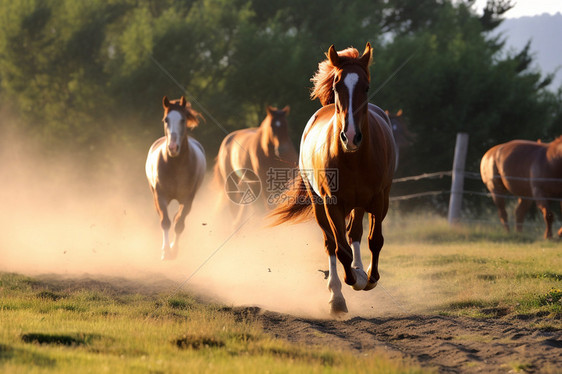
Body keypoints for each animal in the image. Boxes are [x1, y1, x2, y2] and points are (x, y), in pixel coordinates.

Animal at [144, 96, 206, 260]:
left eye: (183, 119)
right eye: (166, 119)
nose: (172, 147)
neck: (175, 165)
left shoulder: (188, 199)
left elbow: (179, 223)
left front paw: (173, 249)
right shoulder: (160, 197)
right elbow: (165, 222)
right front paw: (166, 252)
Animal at [270, 42, 394, 314]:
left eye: (366, 87)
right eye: (338, 86)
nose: (351, 136)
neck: (353, 158)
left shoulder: (380, 199)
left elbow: (374, 240)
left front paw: (368, 277)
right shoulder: (332, 203)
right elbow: (341, 249)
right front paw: (349, 284)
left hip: (361, 204)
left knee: (355, 233)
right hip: (320, 205)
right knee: (332, 243)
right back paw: (337, 295)